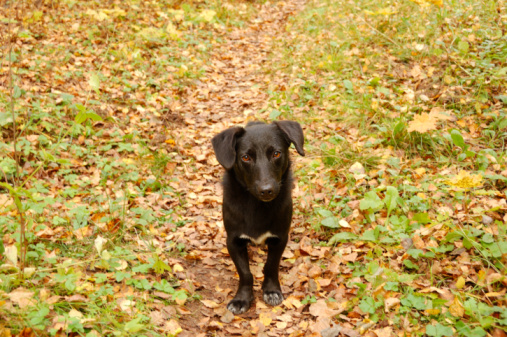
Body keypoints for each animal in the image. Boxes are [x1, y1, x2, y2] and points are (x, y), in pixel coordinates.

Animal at [211, 120, 306, 312]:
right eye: (246, 157)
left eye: (276, 153)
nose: (266, 190)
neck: (257, 205)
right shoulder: (233, 241)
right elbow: (245, 273)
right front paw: (242, 298)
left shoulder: (280, 238)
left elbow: (271, 266)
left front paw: (271, 290)